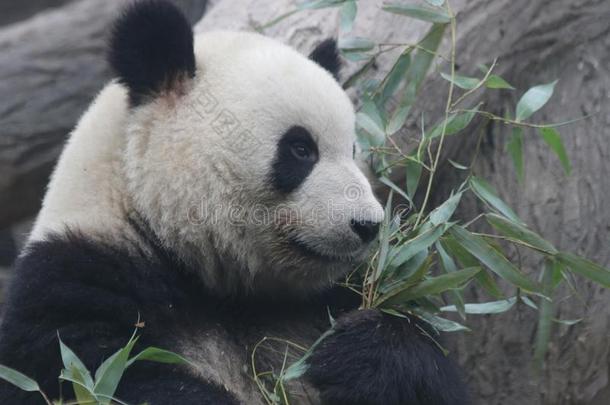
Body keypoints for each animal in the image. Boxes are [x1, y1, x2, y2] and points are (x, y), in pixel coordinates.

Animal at [0, 1, 466, 402]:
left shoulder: (330, 297)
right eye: (301, 149)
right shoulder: (73, 288)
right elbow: (105, 379)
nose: (367, 226)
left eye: (353, 150)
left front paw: (361, 353)